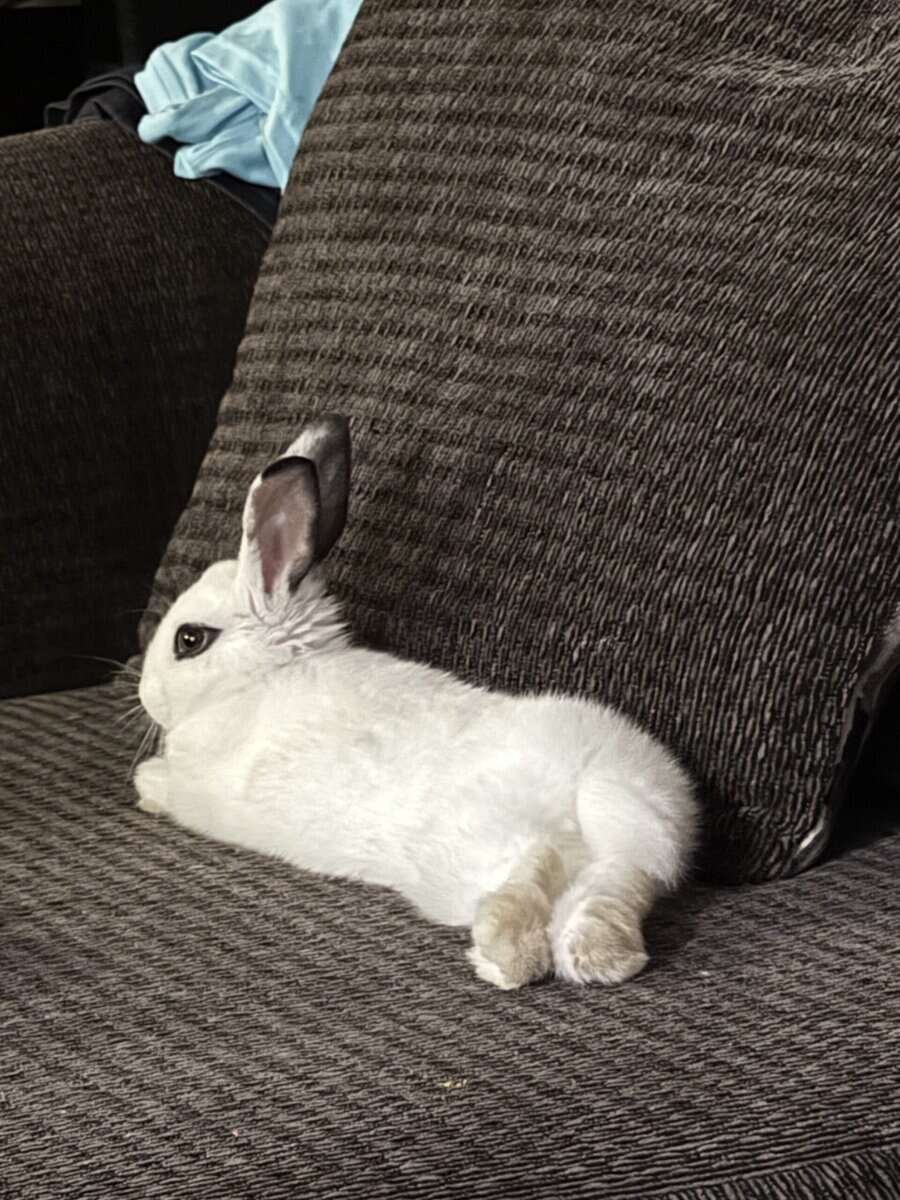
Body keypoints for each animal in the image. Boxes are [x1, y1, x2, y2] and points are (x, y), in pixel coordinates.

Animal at [135, 413, 698, 990]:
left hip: (471, 844)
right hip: (623, 851)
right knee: (613, 882)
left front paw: (145, 788)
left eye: (189, 640)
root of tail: (592, 781)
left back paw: (504, 952)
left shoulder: (195, 789)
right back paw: (602, 954)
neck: (258, 679)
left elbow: (158, 783)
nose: (145, 695)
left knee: (540, 861)